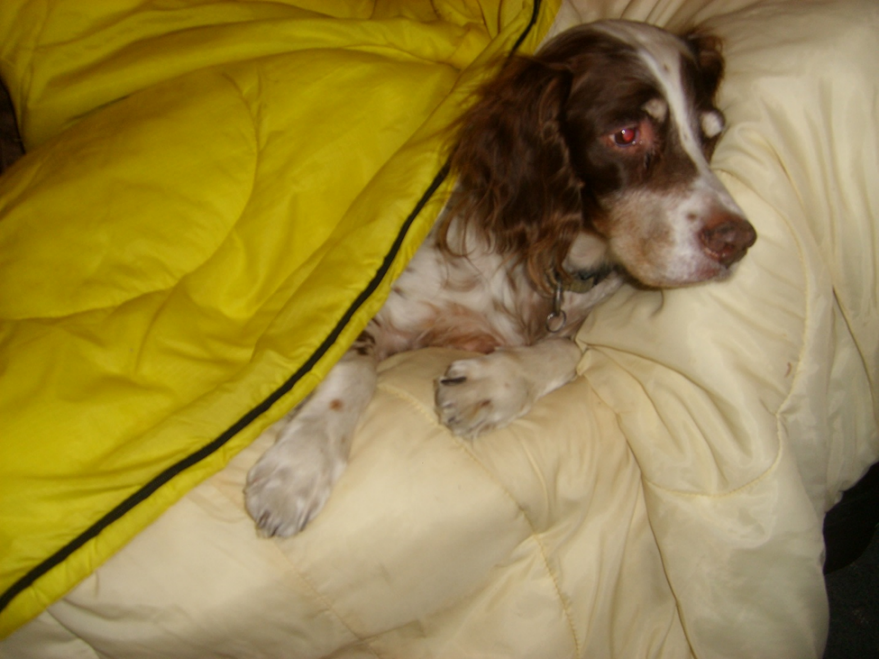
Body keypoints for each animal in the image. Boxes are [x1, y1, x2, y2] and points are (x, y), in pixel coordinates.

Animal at [244, 20, 757, 537]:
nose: (738, 241)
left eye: (711, 136)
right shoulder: (379, 309)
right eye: (627, 134)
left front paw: (493, 384)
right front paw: (298, 469)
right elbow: (352, 369)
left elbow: (568, 349)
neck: (551, 264)